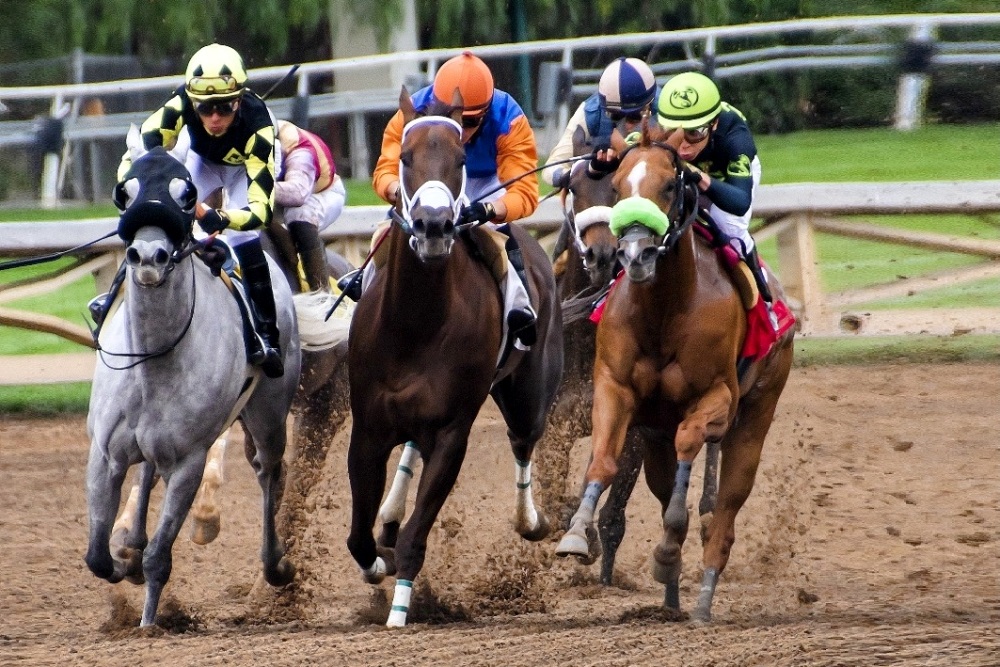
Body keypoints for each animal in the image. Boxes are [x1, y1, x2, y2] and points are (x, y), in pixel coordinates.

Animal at [83, 145, 302, 628]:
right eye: (125, 191)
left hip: (268, 413)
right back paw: (131, 541)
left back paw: (275, 564)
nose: (148, 256)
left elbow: (159, 558)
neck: (153, 362)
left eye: (187, 196)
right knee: (146, 472)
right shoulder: (105, 454)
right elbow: (97, 557)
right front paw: (124, 560)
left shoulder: (189, 461)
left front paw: (148, 624)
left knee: (269, 471)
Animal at [344, 91, 564, 628]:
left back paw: (530, 520)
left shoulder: (451, 433)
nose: (435, 226)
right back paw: (389, 515)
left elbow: (416, 537)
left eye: (462, 160)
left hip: (528, 393)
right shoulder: (369, 428)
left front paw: (399, 613)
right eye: (405, 158)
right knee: (409, 453)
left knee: (522, 440)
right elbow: (359, 538)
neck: (415, 324)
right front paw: (377, 560)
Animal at [560, 124, 792, 620]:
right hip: (654, 438)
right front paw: (574, 533)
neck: (664, 307)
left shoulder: (716, 398)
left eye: (670, 185)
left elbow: (690, 453)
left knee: (724, 512)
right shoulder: (614, 389)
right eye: (617, 185)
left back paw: (701, 598)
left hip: (755, 416)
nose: (634, 253)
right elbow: (602, 460)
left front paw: (668, 548)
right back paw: (669, 599)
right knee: (667, 486)